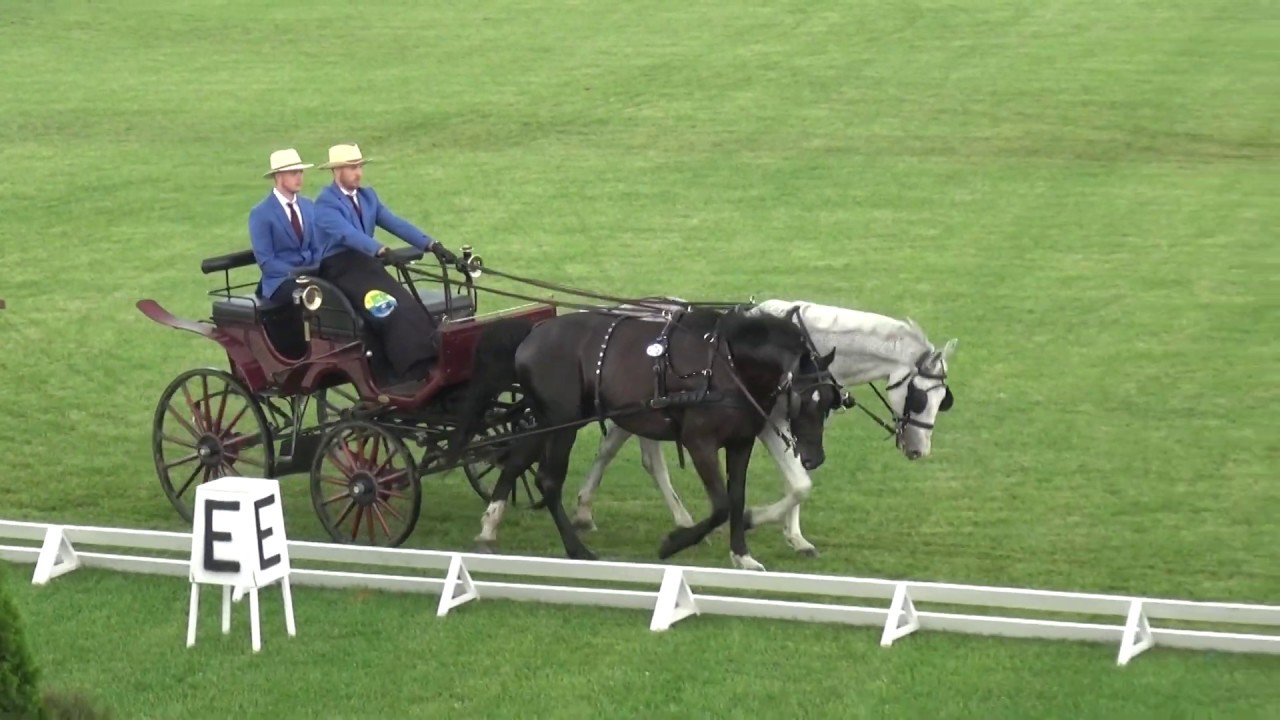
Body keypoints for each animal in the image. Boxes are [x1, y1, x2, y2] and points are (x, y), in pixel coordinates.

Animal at [445, 304, 844, 568]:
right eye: (803, 399)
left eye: (829, 402)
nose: (815, 458)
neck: (727, 365)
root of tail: (533, 331)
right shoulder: (699, 442)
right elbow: (720, 505)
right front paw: (673, 543)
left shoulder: (740, 442)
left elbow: (735, 496)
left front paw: (742, 554)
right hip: (563, 421)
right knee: (548, 479)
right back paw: (577, 550)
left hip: (548, 419)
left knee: (515, 461)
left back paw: (489, 528)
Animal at [573, 297, 962, 556]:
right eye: (918, 397)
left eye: (944, 399)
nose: (919, 449)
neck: (806, 349)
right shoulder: (766, 424)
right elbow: (800, 483)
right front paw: (751, 518)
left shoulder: (800, 425)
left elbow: (799, 479)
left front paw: (795, 535)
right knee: (617, 452)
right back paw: (587, 512)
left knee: (633, 454)